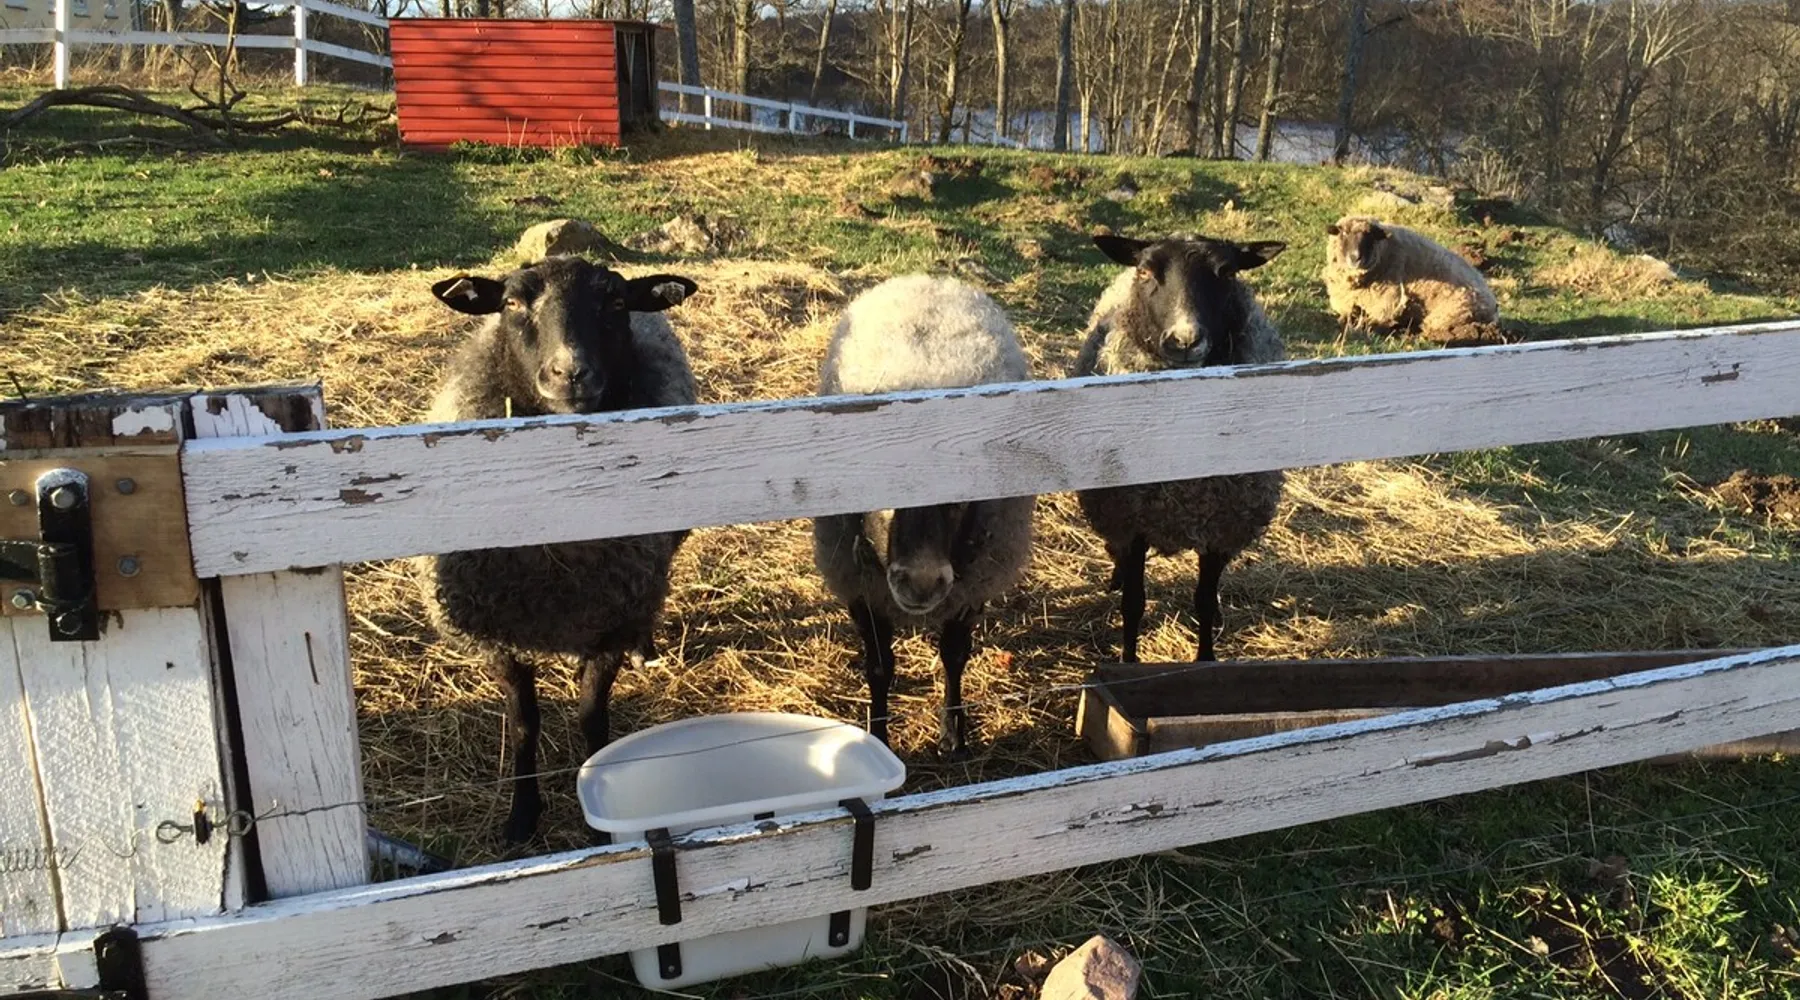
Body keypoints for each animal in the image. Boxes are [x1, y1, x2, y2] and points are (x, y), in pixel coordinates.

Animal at [417, 255, 700, 844]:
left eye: (615, 302)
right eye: (510, 303)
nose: (570, 373)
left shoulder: (612, 619)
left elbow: (592, 716)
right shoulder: (498, 636)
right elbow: (525, 723)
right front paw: (522, 816)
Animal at [812, 275, 1035, 757]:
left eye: (960, 494)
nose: (922, 581)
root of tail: (927, 280)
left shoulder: (971, 587)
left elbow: (954, 655)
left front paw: (954, 734)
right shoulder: (860, 586)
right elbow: (879, 668)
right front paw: (879, 738)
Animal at [1073, 233, 1287, 663]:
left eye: (1228, 272)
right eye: (1145, 271)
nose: (1185, 340)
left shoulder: (1221, 525)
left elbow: (1203, 600)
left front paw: (1205, 658)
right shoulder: (1134, 519)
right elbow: (1134, 604)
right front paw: (1128, 661)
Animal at [1322, 215, 1500, 344]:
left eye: (1370, 236)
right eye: (1344, 233)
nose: (1355, 257)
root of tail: (1493, 303)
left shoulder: (1387, 303)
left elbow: (1374, 320)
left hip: (1447, 316)